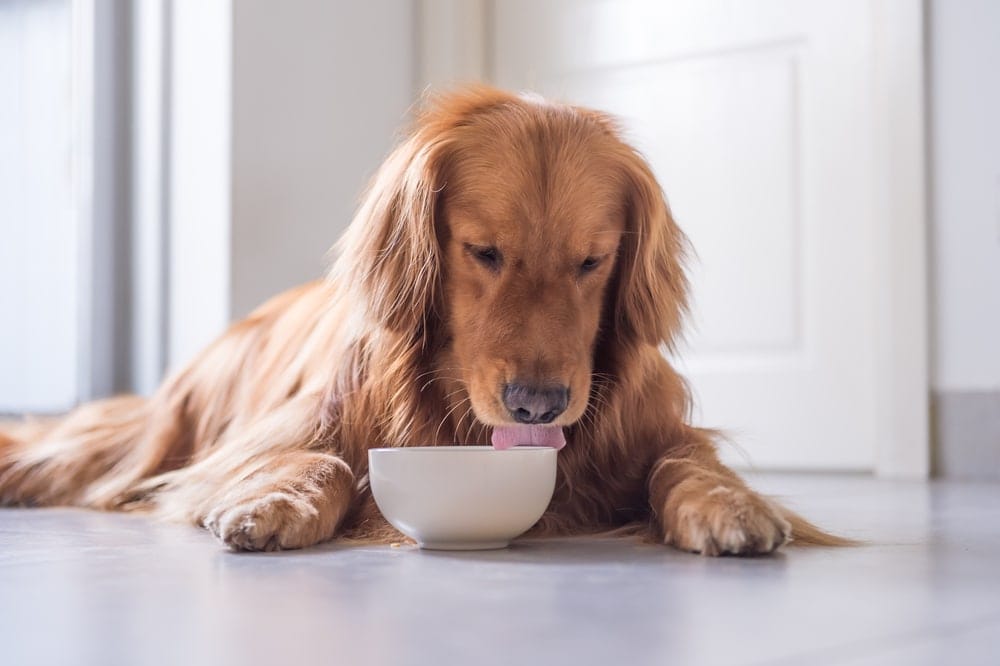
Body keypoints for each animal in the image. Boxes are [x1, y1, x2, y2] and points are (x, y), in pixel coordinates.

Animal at [0, 89, 844, 556]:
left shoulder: (656, 431)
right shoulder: (281, 433)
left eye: (592, 261)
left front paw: (733, 506)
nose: (537, 405)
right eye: (484, 251)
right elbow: (321, 459)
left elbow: (685, 463)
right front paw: (276, 504)